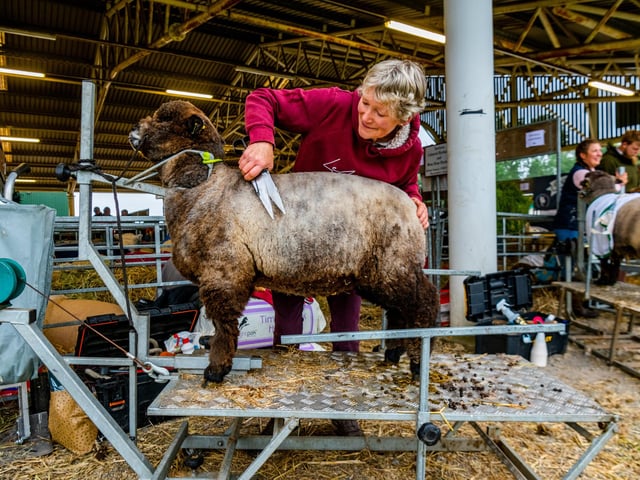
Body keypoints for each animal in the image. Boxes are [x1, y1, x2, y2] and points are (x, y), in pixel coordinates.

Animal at [129, 100, 439, 384]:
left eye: (164, 118)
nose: (133, 129)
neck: (204, 186)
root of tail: (411, 206)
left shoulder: (224, 273)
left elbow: (223, 326)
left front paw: (216, 370)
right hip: (379, 275)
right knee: (399, 311)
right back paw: (393, 353)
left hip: (394, 266)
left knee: (425, 303)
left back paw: (418, 361)